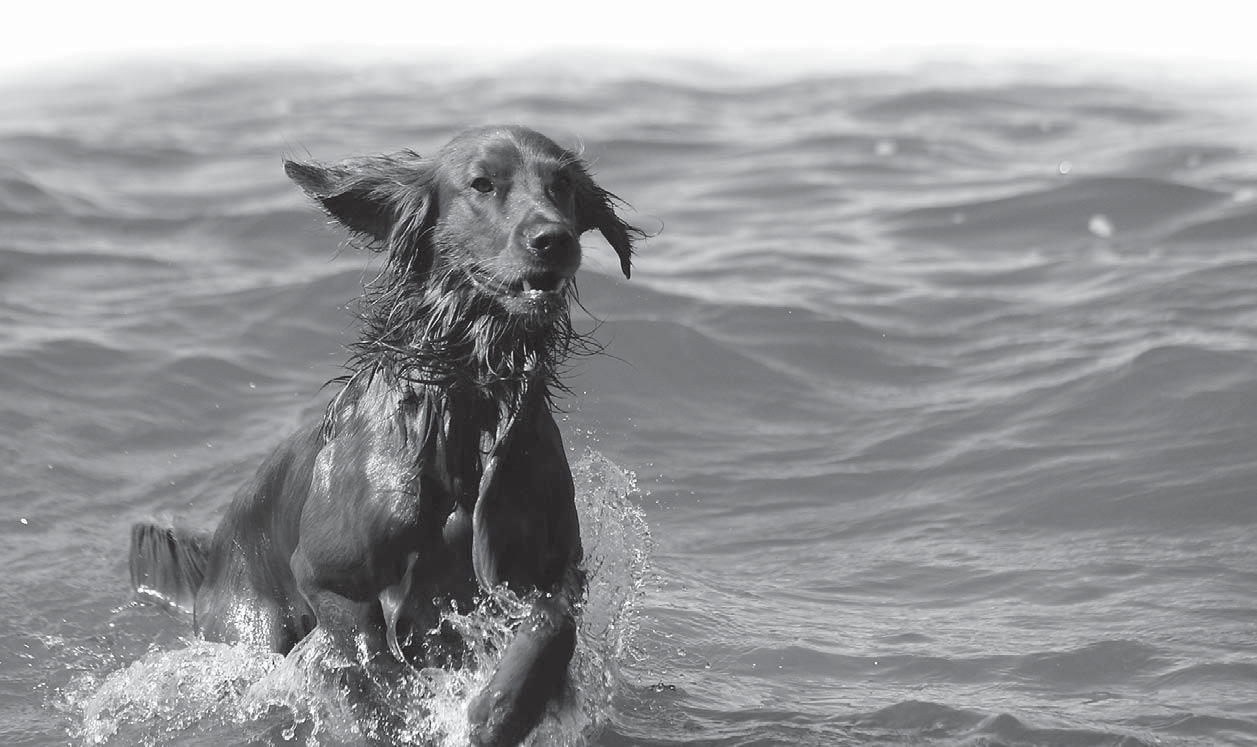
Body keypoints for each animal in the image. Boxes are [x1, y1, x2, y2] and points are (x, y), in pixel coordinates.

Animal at [130, 125, 638, 739]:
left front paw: (501, 709)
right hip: (251, 626)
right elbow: (370, 659)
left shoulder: (553, 568)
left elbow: (551, 626)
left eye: (562, 185)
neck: (466, 406)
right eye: (482, 183)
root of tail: (215, 545)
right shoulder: (329, 576)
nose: (553, 239)